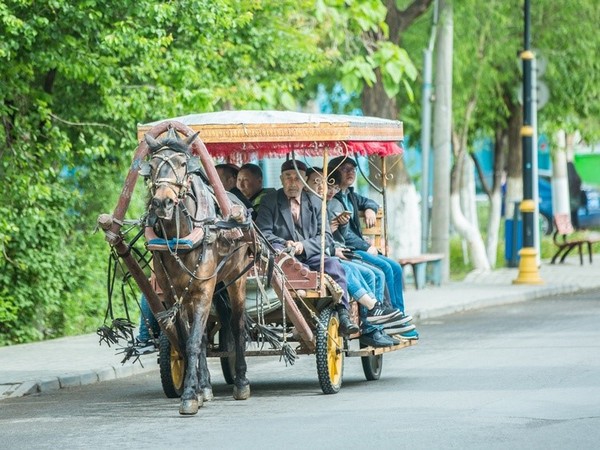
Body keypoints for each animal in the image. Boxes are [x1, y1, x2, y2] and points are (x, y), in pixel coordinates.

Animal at [145, 126, 253, 414]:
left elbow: (194, 341)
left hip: (235, 279)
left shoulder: (204, 288)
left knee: (237, 326)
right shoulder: (175, 294)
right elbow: (190, 339)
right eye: (152, 165)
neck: (178, 237)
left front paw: (189, 397)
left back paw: (241, 382)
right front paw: (196, 390)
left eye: (183, 164)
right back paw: (205, 387)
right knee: (204, 335)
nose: (162, 203)